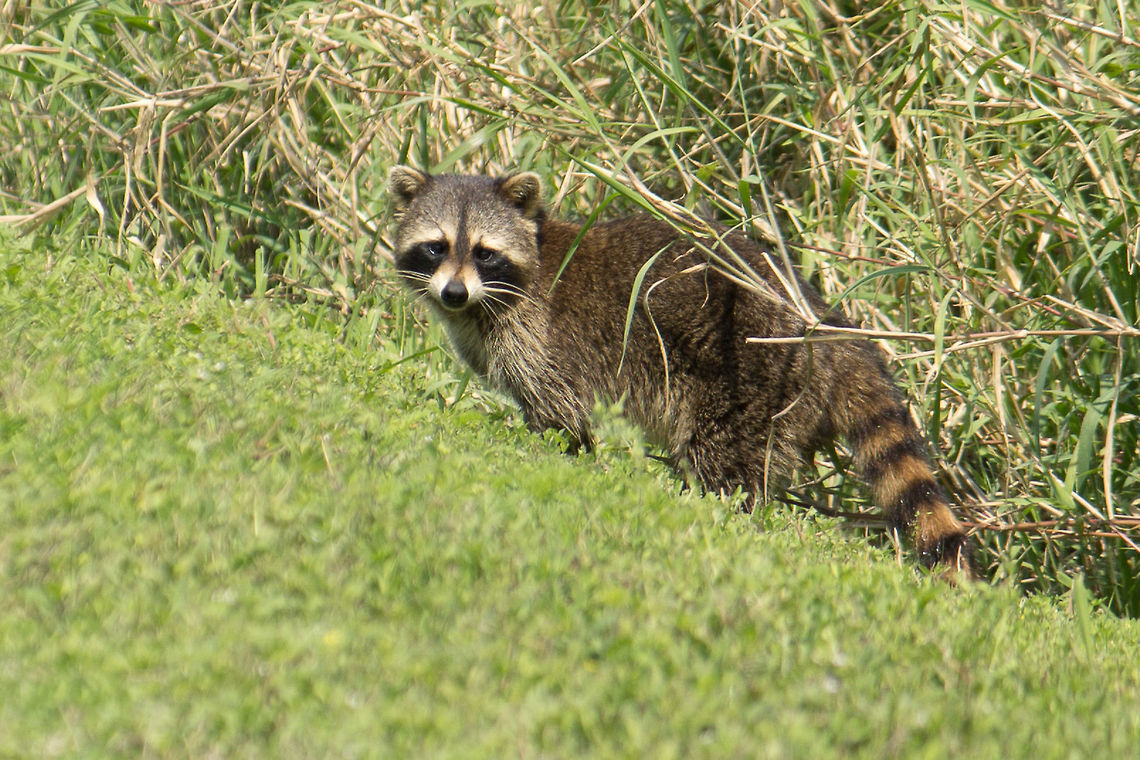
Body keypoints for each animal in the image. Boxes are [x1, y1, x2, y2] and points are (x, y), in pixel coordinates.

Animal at [389, 166, 975, 578]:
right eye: (436, 247)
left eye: (484, 253)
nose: (454, 292)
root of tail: (822, 322)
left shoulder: (544, 339)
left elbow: (562, 418)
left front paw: (554, 458)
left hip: (755, 374)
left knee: (726, 463)